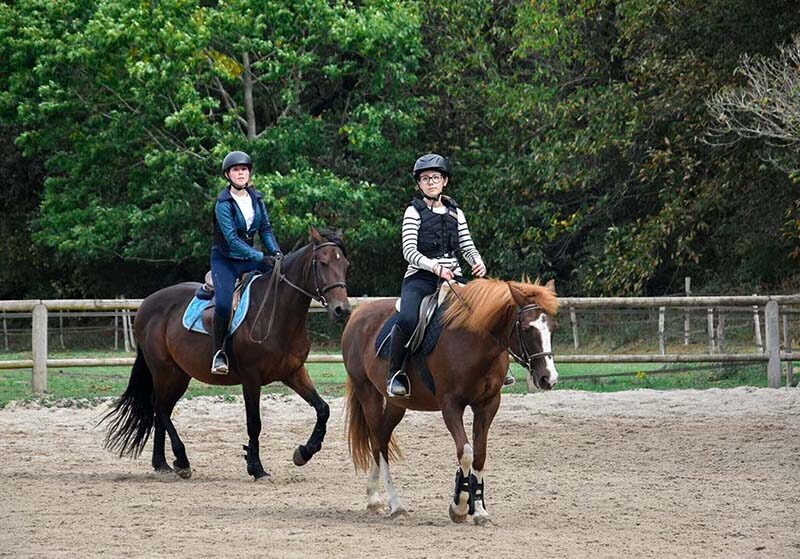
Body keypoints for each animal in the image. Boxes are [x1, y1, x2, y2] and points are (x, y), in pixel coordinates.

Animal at [102, 228, 350, 482]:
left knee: (162, 410)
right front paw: (256, 468)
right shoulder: (251, 377)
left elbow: (323, 409)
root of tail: (146, 304)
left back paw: (162, 464)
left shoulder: (293, 372)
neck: (275, 312)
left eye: (345, 265)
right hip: (164, 370)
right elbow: (254, 423)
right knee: (159, 407)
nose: (342, 310)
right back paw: (181, 460)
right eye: (323, 263)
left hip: (180, 375)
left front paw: (304, 452)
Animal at [340, 278, 560, 528]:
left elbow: (480, 454)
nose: (549, 378)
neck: (475, 342)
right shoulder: (451, 405)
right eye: (526, 328)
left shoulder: (488, 404)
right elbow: (465, 452)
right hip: (368, 393)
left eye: (552, 328)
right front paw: (460, 507)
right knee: (378, 442)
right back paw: (395, 505)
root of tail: (358, 314)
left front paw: (480, 511)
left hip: (396, 403)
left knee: (382, 438)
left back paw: (374, 498)